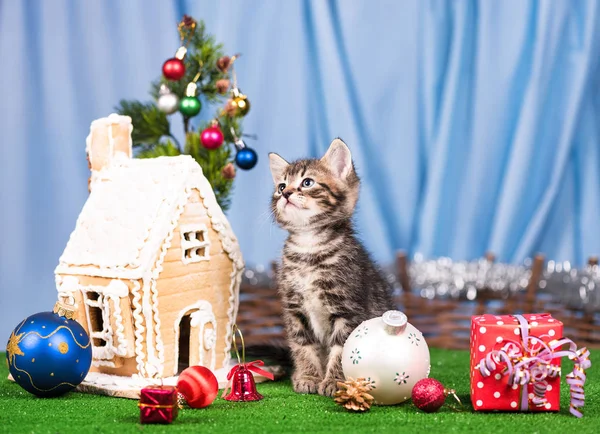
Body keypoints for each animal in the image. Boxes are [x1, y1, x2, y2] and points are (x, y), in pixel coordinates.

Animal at [270, 138, 396, 396]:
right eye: (281, 186)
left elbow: (343, 348)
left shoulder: (348, 308)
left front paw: (336, 381)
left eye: (307, 183)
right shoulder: (294, 308)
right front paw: (308, 376)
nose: (285, 193)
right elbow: (302, 344)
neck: (309, 246)